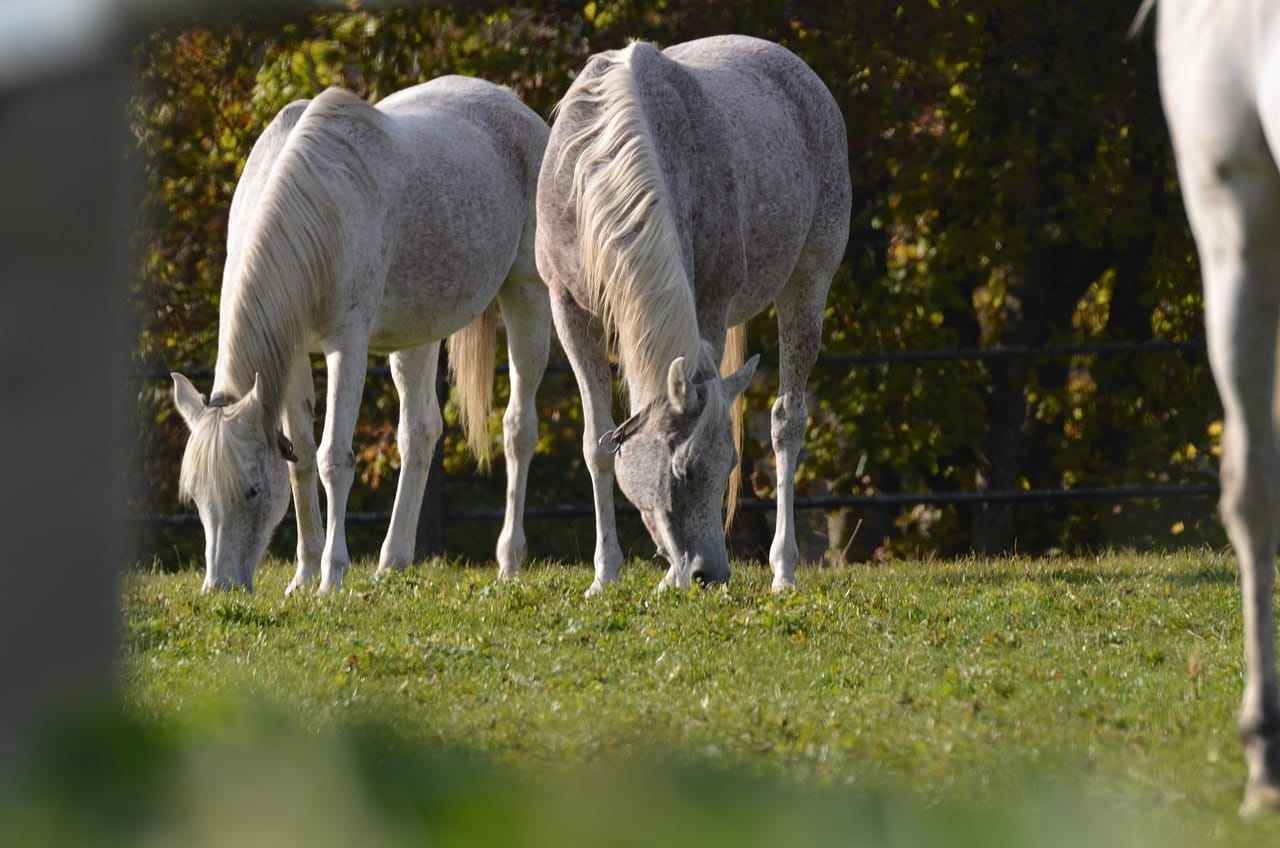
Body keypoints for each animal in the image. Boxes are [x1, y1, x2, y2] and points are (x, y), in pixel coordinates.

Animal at [171, 81, 550, 596]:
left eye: (250, 490)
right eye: (196, 496)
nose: (220, 587)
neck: (316, 209)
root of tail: (519, 109)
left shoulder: (346, 347)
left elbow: (333, 457)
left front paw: (332, 576)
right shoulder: (292, 356)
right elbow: (301, 459)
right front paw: (304, 574)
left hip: (527, 295)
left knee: (517, 429)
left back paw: (509, 559)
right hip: (418, 333)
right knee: (420, 432)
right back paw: (393, 561)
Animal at [535, 36, 855, 594]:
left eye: (728, 463)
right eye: (680, 471)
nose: (709, 573)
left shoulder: (709, 303)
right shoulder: (568, 307)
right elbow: (598, 444)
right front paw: (605, 573)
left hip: (810, 280)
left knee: (787, 422)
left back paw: (784, 570)